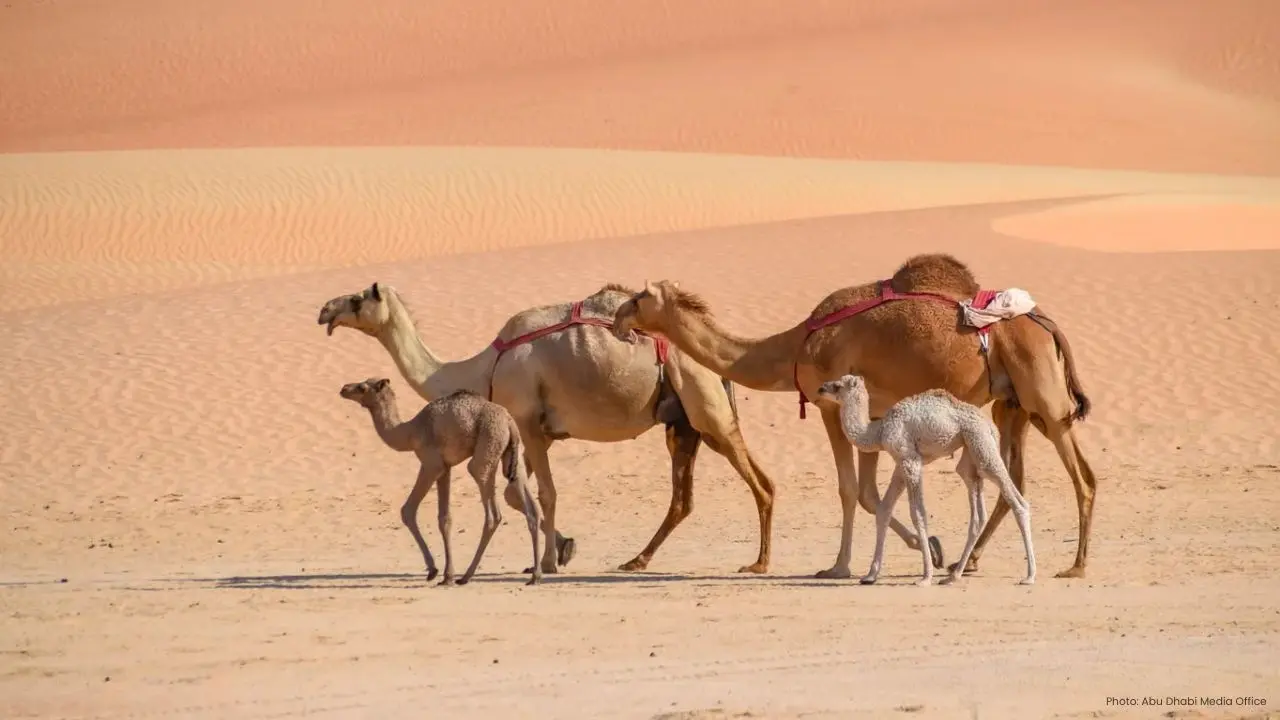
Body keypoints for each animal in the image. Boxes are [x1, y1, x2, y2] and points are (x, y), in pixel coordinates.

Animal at [339, 378, 544, 586]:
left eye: (363, 387)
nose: (344, 388)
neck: (410, 433)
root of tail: (509, 422)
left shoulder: (432, 464)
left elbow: (408, 510)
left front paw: (434, 571)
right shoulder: (446, 468)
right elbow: (444, 518)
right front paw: (447, 575)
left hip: (487, 446)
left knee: (492, 511)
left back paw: (467, 576)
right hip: (511, 456)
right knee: (531, 508)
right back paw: (535, 575)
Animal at [816, 375, 1036, 587]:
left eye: (838, 386)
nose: (821, 388)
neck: (878, 431)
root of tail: (990, 426)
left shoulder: (910, 461)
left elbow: (918, 513)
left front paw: (925, 577)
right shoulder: (900, 464)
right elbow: (884, 510)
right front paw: (870, 575)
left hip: (982, 446)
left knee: (1018, 502)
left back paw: (1029, 576)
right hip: (970, 454)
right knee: (977, 513)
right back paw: (953, 576)